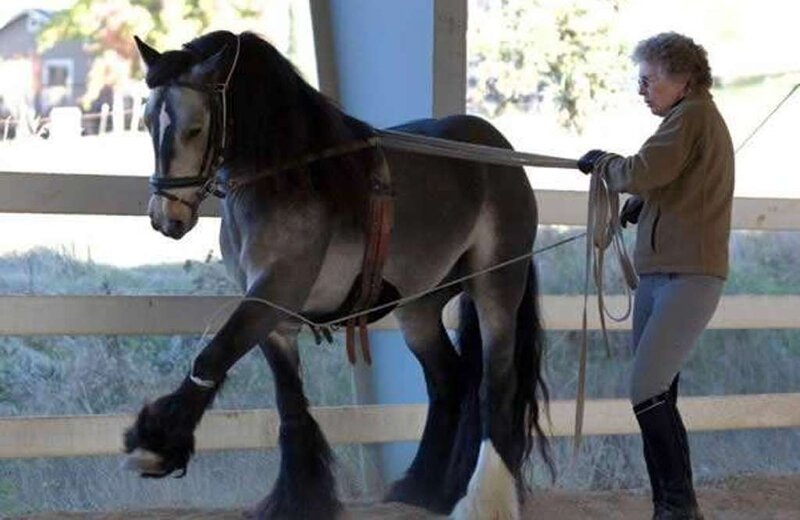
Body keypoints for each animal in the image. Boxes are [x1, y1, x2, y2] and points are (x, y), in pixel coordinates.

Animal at [124, 30, 551, 519]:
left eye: (194, 128)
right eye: (147, 122)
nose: (166, 218)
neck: (287, 176)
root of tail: (500, 151)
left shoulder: (274, 292)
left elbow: (212, 357)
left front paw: (155, 446)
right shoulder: (272, 315)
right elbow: (289, 400)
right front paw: (298, 497)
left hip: (496, 284)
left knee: (495, 385)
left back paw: (482, 498)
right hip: (420, 307)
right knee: (448, 380)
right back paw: (425, 488)